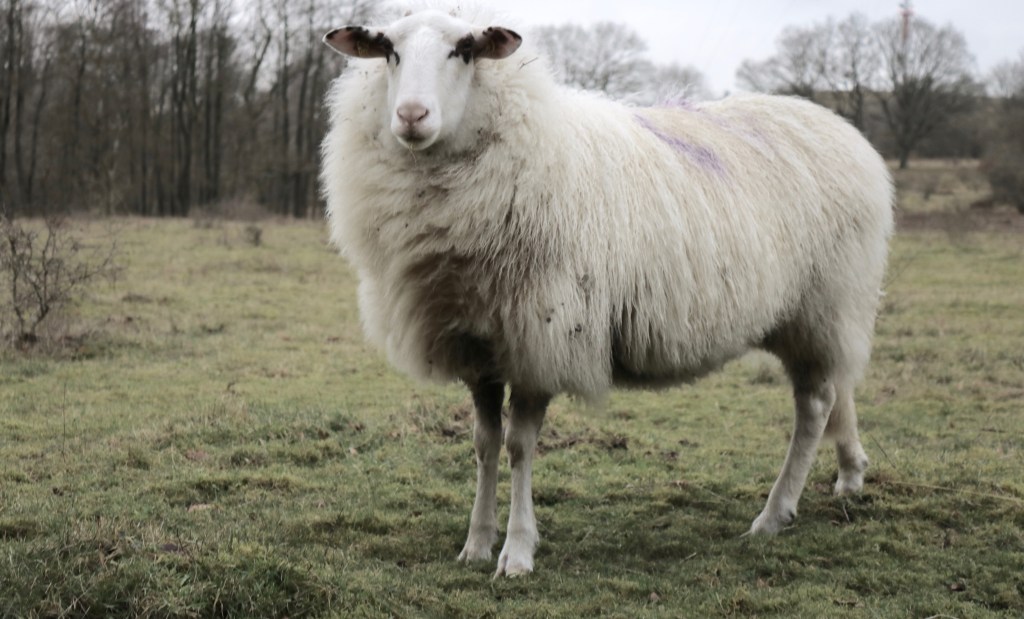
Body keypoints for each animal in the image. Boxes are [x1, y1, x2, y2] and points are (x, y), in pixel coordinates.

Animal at [320, 3, 893, 577]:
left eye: (463, 50)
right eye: (389, 51)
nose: (411, 116)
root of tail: (841, 128)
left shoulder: (543, 337)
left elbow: (519, 447)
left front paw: (517, 552)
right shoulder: (480, 343)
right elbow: (484, 444)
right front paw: (476, 543)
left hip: (823, 305)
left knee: (814, 405)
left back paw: (774, 515)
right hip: (818, 315)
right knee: (839, 387)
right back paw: (849, 472)